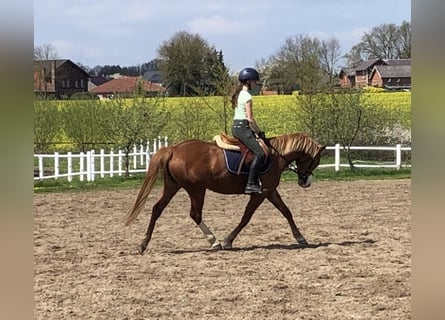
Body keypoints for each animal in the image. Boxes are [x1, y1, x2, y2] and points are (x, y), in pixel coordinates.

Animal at [123, 131, 324, 254]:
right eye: (316, 160)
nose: (305, 182)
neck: (275, 156)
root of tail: (173, 149)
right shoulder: (260, 193)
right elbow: (246, 217)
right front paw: (228, 241)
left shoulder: (270, 191)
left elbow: (286, 211)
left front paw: (300, 237)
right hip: (196, 189)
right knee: (195, 214)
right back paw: (214, 241)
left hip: (173, 186)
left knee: (157, 209)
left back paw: (143, 244)